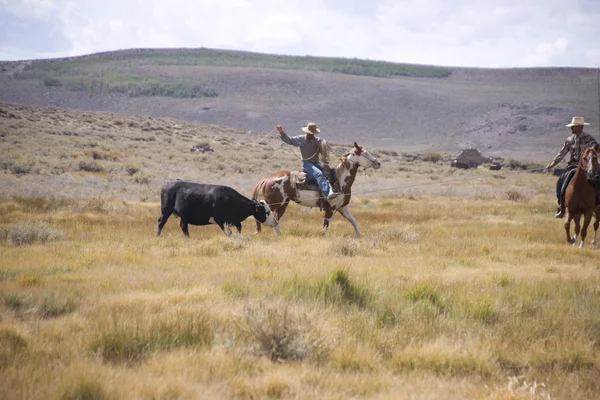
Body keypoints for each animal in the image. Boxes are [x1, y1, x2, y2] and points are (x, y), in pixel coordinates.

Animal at [252, 141, 380, 234]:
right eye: (365, 153)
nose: (378, 163)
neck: (340, 178)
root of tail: (266, 179)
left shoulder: (342, 207)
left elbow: (353, 222)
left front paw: (359, 236)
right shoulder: (330, 208)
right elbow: (325, 227)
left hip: (283, 204)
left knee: (276, 220)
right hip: (274, 203)